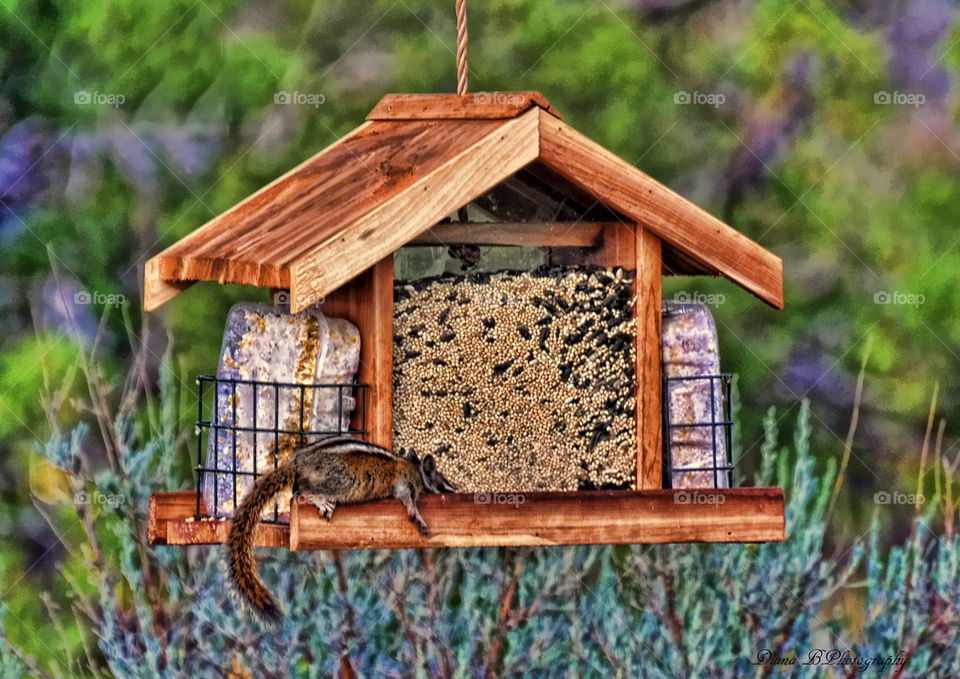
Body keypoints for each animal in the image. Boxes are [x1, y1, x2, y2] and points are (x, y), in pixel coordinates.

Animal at [227, 435, 455, 624]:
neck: (414, 469)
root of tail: (297, 463)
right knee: (303, 489)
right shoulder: (405, 484)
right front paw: (418, 517)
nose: (456, 492)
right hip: (342, 481)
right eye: (446, 487)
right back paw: (320, 500)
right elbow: (408, 500)